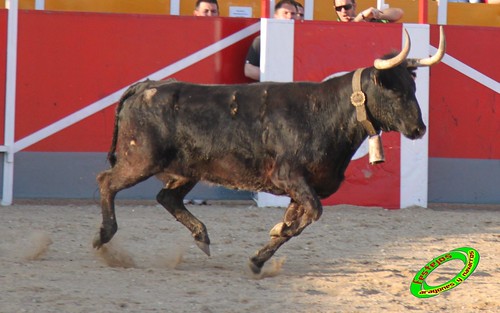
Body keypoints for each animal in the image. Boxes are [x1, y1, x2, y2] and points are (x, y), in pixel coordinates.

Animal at [94, 29, 446, 272]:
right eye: (394, 89)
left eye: (414, 87)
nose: (419, 128)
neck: (326, 113)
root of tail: (146, 85)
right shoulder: (289, 177)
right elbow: (312, 214)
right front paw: (270, 243)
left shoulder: (301, 189)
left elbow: (295, 223)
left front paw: (260, 256)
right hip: (140, 160)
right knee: (107, 181)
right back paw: (103, 237)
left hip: (184, 170)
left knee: (166, 197)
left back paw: (202, 238)